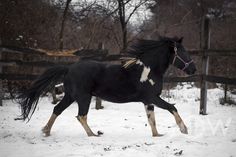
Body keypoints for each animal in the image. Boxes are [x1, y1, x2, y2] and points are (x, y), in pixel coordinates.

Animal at [17, 36, 196, 137]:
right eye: (183, 52)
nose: (194, 69)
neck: (149, 70)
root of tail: (68, 68)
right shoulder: (153, 97)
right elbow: (172, 108)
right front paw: (184, 129)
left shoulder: (148, 101)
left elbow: (152, 120)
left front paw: (157, 135)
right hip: (83, 97)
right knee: (81, 116)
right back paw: (93, 134)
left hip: (70, 96)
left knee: (58, 110)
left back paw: (46, 131)